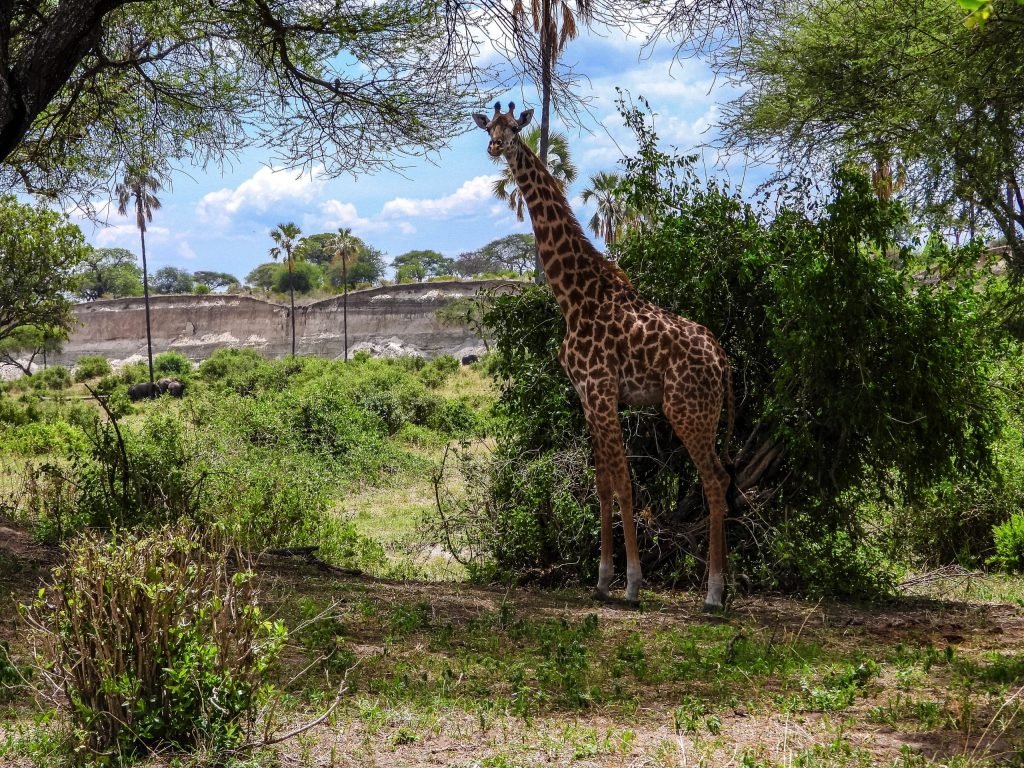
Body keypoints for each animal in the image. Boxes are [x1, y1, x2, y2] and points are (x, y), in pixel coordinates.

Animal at [473, 102, 737, 610]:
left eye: (515, 128)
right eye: (490, 127)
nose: (495, 147)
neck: (574, 295)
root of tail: (722, 361)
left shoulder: (600, 390)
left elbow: (624, 483)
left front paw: (632, 584)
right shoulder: (587, 396)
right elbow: (602, 484)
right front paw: (601, 580)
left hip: (686, 408)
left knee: (715, 480)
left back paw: (714, 595)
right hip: (704, 411)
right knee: (722, 479)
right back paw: (720, 588)